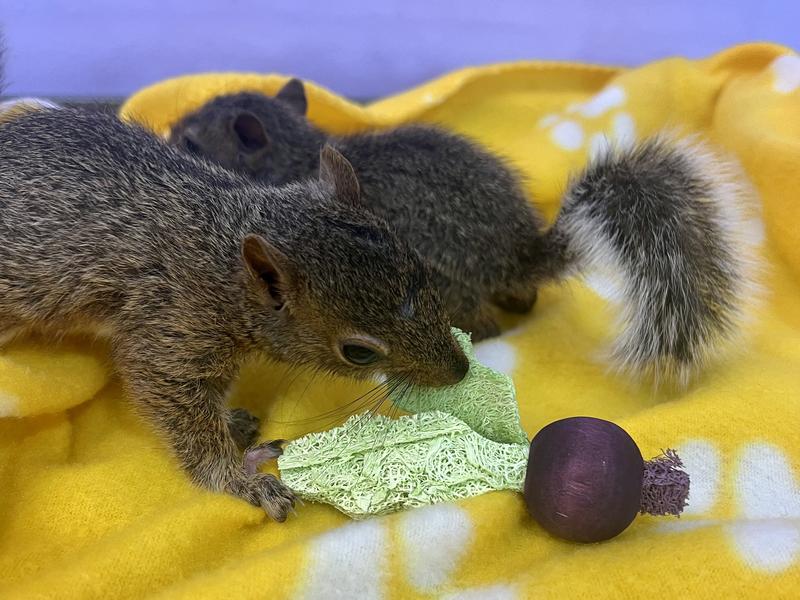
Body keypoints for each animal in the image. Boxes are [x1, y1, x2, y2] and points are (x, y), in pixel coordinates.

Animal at [0, 102, 470, 521]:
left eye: (423, 268)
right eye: (358, 352)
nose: (460, 370)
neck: (223, 257)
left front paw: (229, 422)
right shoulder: (170, 328)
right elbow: (179, 411)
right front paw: (239, 479)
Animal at [169, 79, 762, 382]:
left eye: (194, 141)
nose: (166, 138)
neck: (291, 154)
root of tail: (516, 254)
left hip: (447, 288)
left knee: (488, 325)